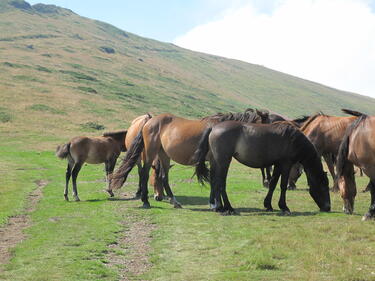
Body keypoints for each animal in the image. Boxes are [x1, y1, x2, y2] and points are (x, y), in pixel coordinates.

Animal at [108, 109, 270, 208]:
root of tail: (149, 121)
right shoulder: (216, 160)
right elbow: (215, 180)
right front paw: (215, 204)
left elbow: (214, 180)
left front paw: (214, 203)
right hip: (150, 153)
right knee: (144, 174)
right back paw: (145, 201)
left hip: (164, 155)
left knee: (164, 177)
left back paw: (173, 201)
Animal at [194, 120, 332, 214]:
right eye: (324, 187)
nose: (328, 207)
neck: (293, 139)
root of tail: (213, 128)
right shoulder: (286, 164)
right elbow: (282, 185)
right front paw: (284, 207)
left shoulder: (278, 164)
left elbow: (273, 184)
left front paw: (268, 205)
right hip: (223, 161)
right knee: (220, 182)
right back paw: (225, 207)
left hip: (217, 161)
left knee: (215, 181)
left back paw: (219, 207)